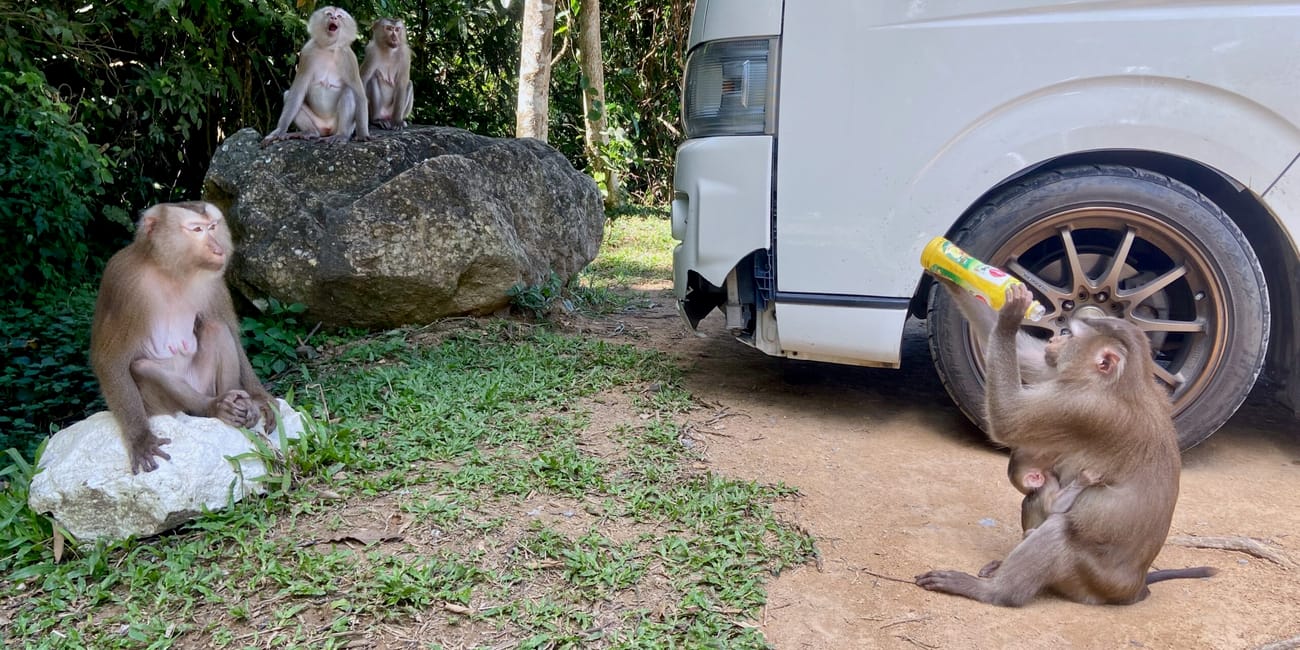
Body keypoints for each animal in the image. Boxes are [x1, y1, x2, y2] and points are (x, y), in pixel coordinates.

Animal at [90, 202, 277, 474]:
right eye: (197, 229)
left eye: (213, 226)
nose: (217, 249)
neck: (174, 271)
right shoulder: (121, 281)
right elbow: (110, 360)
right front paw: (140, 438)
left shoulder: (214, 284)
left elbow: (231, 333)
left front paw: (260, 400)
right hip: (159, 406)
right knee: (142, 367)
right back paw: (213, 407)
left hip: (204, 383)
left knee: (216, 328)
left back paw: (237, 404)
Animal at [263, 6, 370, 145]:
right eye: (329, 14)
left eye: (339, 16)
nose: (333, 18)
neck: (329, 49)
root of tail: (327, 129)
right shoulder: (307, 52)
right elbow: (297, 93)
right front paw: (279, 130)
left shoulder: (349, 58)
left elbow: (359, 95)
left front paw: (362, 134)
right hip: (319, 125)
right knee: (288, 96)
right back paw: (310, 132)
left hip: (338, 125)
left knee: (349, 92)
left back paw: (342, 135)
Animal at [916, 284, 1215, 605]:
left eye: (1070, 334)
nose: (1054, 339)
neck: (1125, 383)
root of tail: (1134, 588)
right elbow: (1028, 358)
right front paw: (952, 278)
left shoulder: (1081, 406)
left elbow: (1009, 418)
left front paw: (1010, 316)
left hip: (1086, 577)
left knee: (1057, 529)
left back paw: (992, 591)